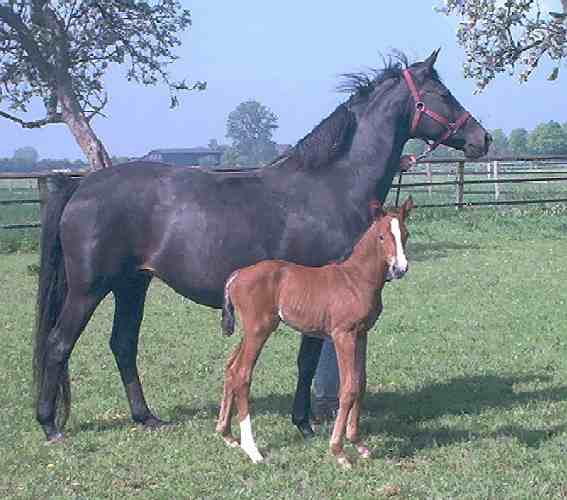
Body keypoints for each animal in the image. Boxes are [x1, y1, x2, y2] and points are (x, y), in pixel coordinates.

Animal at [216, 196, 412, 468]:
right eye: (382, 236)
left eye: (405, 234)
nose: (400, 268)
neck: (356, 279)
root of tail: (237, 275)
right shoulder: (343, 335)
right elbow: (348, 387)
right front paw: (339, 451)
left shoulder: (362, 334)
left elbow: (360, 383)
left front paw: (358, 444)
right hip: (259, 330)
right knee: (242, 375)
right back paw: (253, 450)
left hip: (251, 331)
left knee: (231, 367)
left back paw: (226, 435)